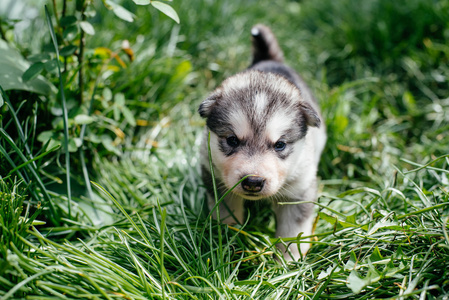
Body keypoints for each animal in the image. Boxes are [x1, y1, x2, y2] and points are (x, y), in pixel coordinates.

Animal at [199, 25, 326, 260]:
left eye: (280, 145)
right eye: (232, 140)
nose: (253, 181)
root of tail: (270, 59)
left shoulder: (299, 190)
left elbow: (293, 232)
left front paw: (288, 261)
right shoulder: (216, 179)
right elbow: (227, 214)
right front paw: (228, 240)